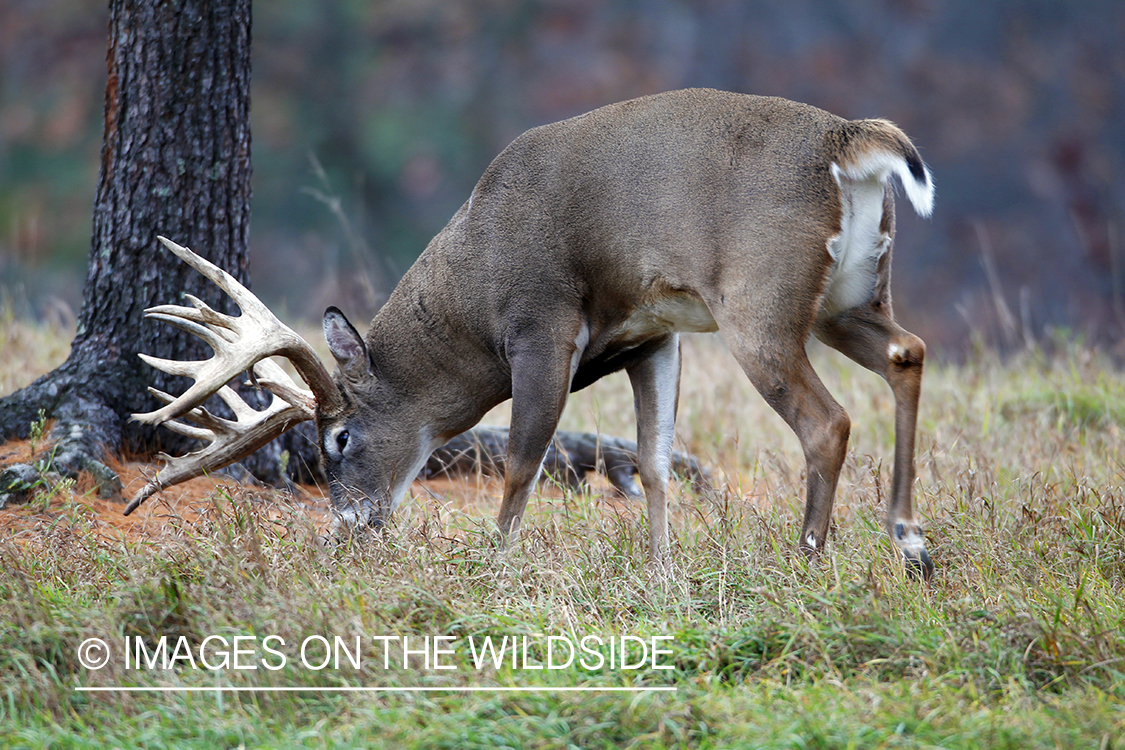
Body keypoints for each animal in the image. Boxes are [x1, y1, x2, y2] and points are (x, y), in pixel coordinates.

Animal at [125, 91, 931, 580]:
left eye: (340, 437)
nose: (347, 528)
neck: (474, 297)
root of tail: (850, 139)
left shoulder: (541, 323)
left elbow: (522, 460)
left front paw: (493, 569)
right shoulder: (652, 334)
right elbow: (654, 462)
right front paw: (661, 574)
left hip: (758, 303)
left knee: (829, 421)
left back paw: (809, 560)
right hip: (849, 297)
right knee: (907, 352)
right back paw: (910, 541)